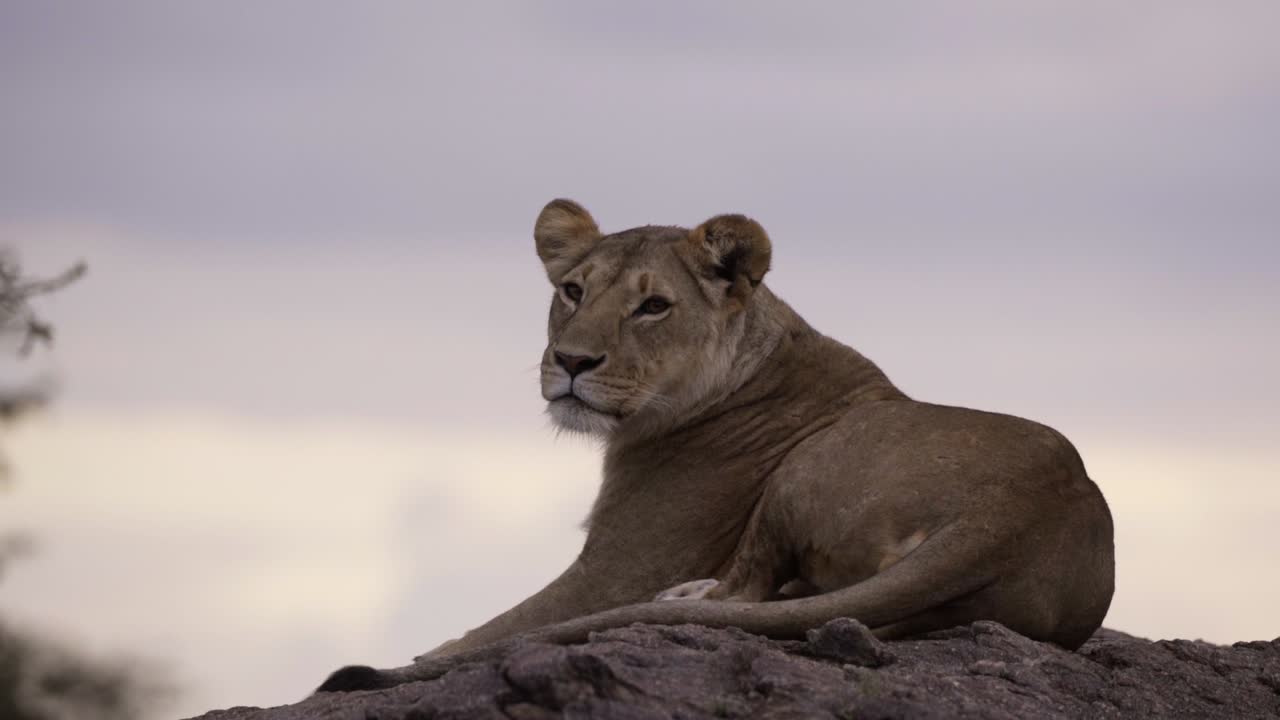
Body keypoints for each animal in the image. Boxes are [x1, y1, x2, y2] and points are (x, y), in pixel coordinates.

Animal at [317, 199, 1115, 692]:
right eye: (573, 290)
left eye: (653, 306)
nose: (571, 362)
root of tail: (1017, 512)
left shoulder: (616, 572)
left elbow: (492, 629)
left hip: (805, 468)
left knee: (745, 586)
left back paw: (693, 593)